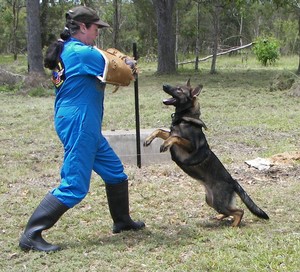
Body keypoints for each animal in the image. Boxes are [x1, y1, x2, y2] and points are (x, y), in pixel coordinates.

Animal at [144, 79, 270, 227]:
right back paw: (220, 217)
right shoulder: (171, 133)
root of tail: (233, 181)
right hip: (211, 201)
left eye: (179, 89)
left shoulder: (190, 146)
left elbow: (175, 137)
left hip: (218, 202)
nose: (164, 85)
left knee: (240, 211)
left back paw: (233, 226)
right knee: (231, 211)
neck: (185, 118)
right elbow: (160, 131)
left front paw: (164, 144)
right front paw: (148, 139)